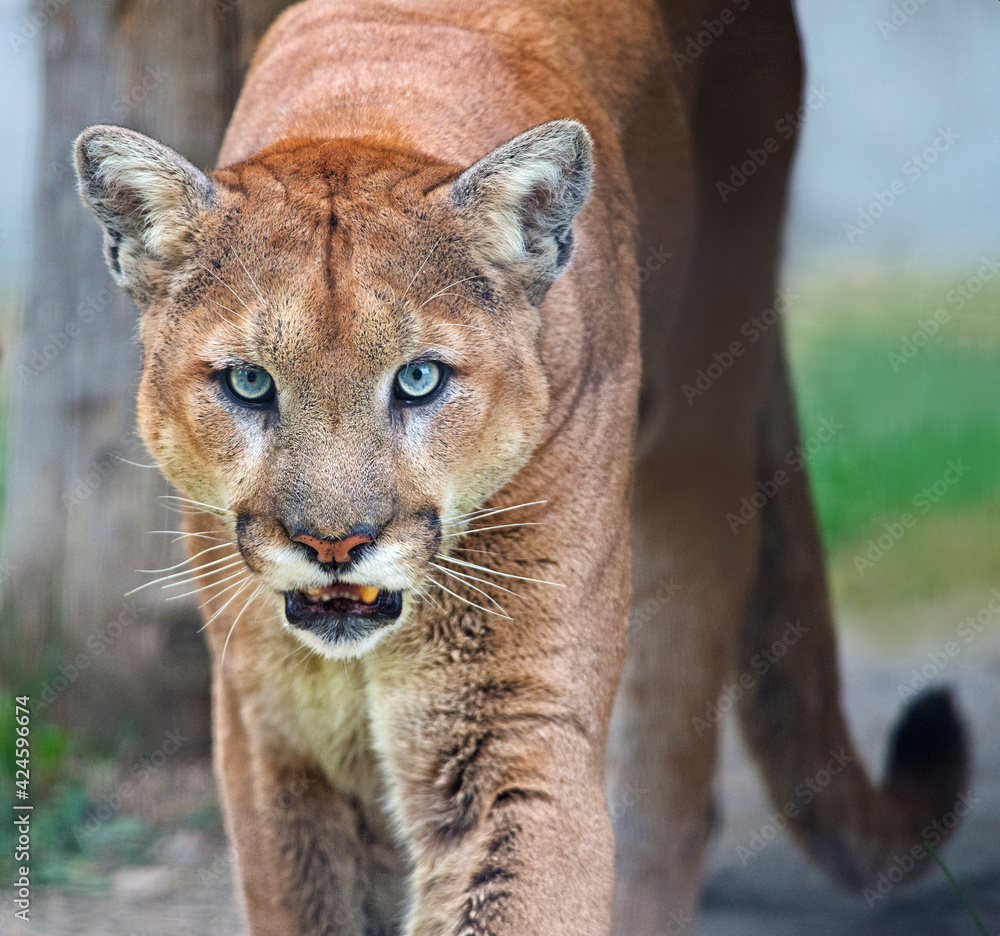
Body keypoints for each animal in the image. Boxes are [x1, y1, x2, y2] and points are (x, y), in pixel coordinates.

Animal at [73, 0, 968, 933]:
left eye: (419, 379)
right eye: (249, 383)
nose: (333, 546)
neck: (367, 107)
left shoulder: (512, 723)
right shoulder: (277, 738)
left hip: (698, 433)